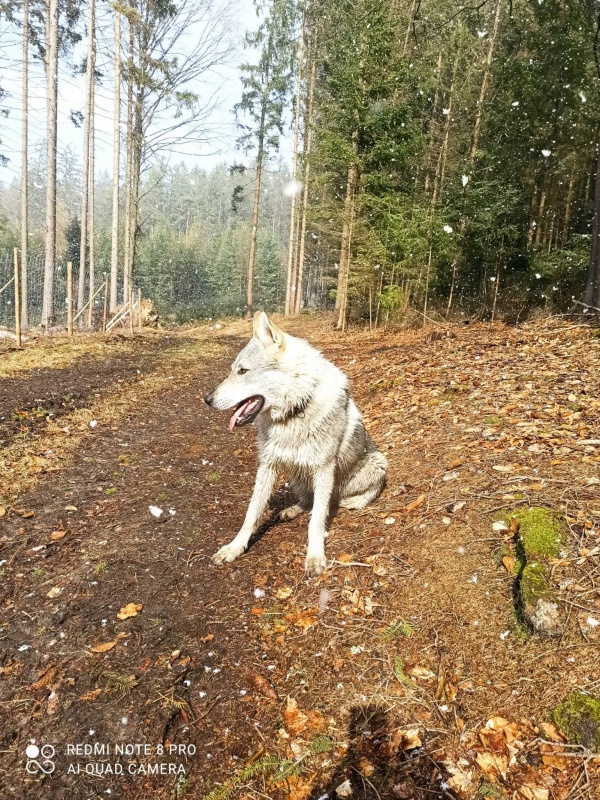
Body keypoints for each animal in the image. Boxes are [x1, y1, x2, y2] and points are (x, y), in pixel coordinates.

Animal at [204, 312, 386, 576]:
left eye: (243, 371)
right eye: (232, 371)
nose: (206, 399)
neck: (294, 411)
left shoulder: (324, 469)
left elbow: (316, 522)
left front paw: (315, 556)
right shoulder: (267, 466)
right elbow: (251, 514)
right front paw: (234, 548)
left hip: (378, 462)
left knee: (354, 496)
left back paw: (352, 502)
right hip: (297, 476)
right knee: (309, 501)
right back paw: (291, 510)